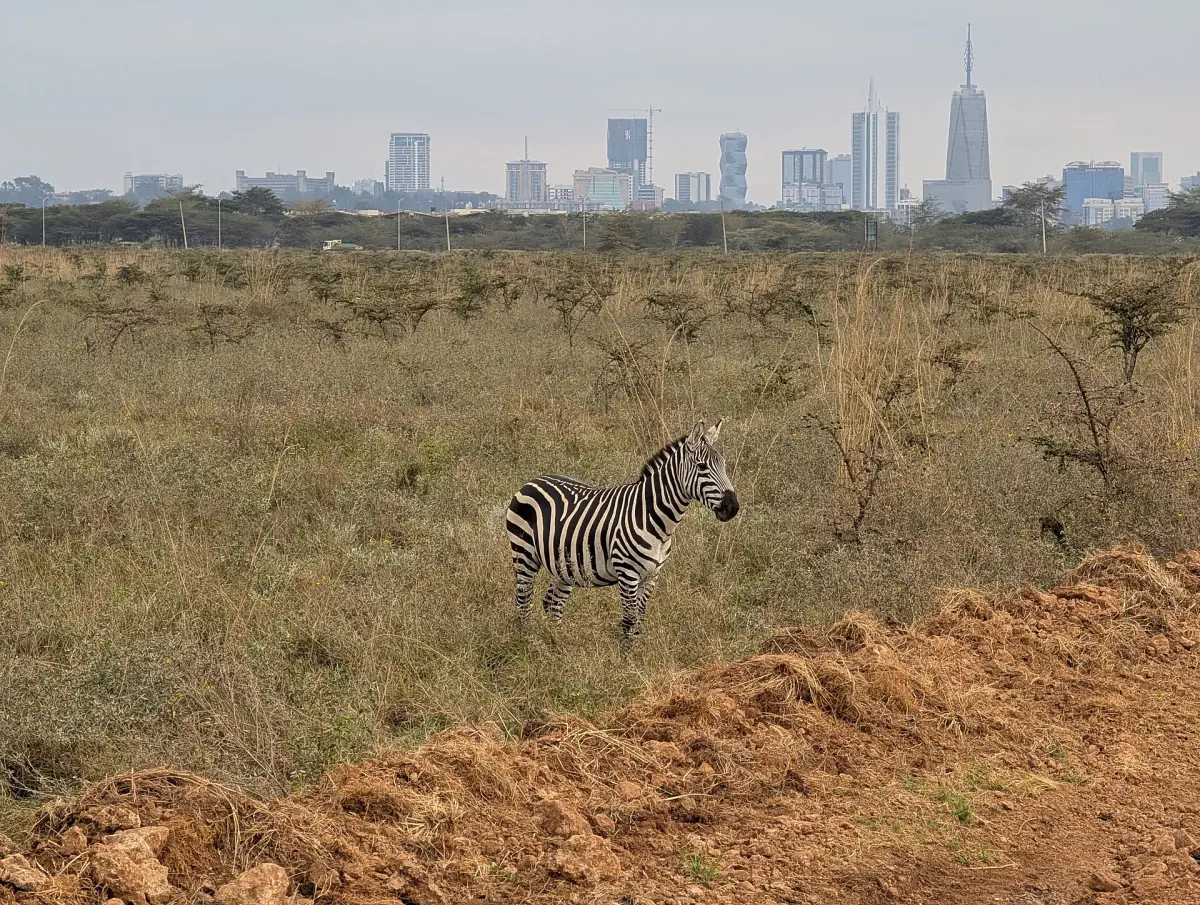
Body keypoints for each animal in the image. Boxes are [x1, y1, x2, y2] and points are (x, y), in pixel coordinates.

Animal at [505, 420, 739, 638]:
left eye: (724, 465)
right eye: (702, 467)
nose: (733, 508)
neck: (654, 519)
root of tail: (532, 481)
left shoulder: (652, 576)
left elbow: (640, 620)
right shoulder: (628, 573)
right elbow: (629, 621)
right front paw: (628, 654)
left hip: (564, 565)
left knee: (552, 604)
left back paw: (556, 642)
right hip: (524, 554)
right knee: (523, 602)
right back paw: (527, 641)